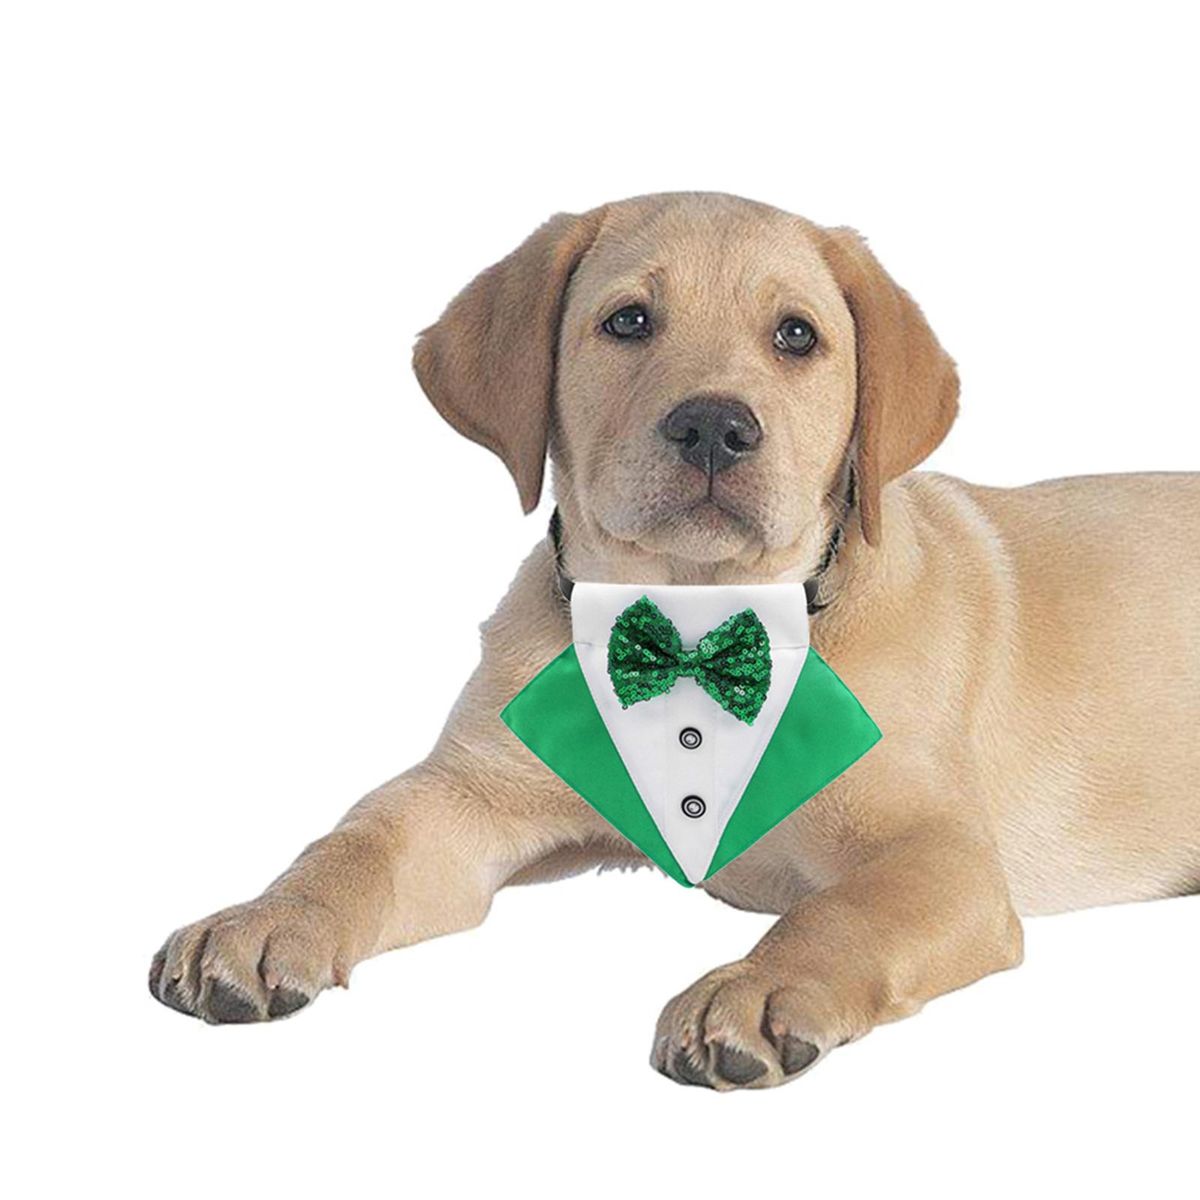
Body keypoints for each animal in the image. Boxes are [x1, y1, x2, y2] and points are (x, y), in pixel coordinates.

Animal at [149, 192, 1200, 1089]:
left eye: (795, 335)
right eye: (628, 322)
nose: (713, 426)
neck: (698, 614)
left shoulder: (938, 853)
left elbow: (839, 912)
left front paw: (757, 988)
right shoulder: (468, 796)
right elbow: (357, 842)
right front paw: (266, 918)